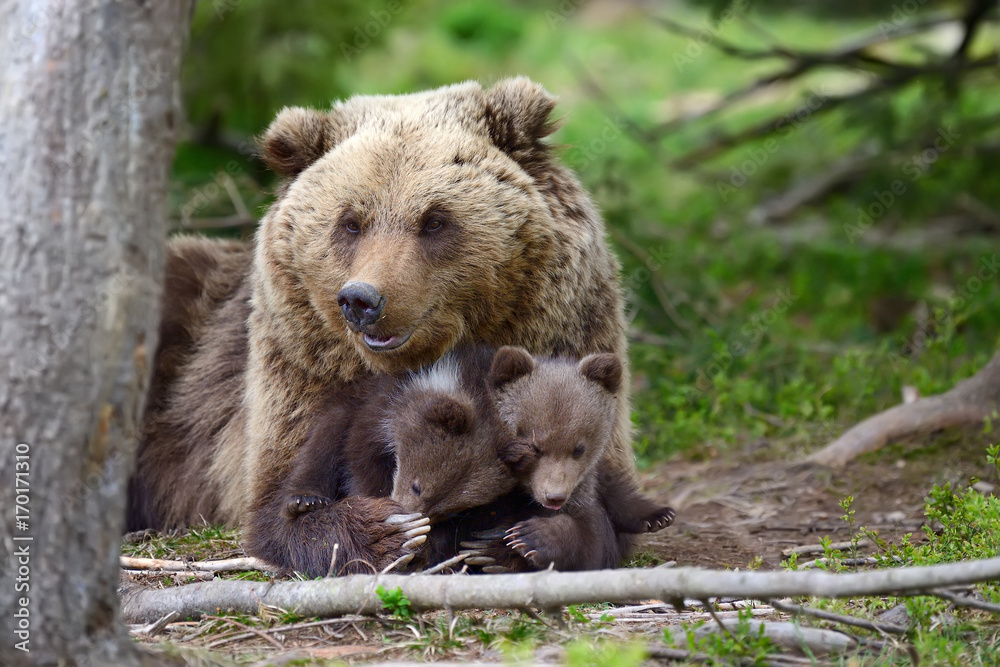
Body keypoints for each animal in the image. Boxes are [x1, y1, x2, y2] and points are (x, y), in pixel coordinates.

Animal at [129, 77, 636, 568]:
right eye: (350, 222)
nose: (362, 299)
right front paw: (382, 529)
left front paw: (512, 537)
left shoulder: (568, 340)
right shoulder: (298, 370)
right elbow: (281, 498)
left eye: (435, 219)